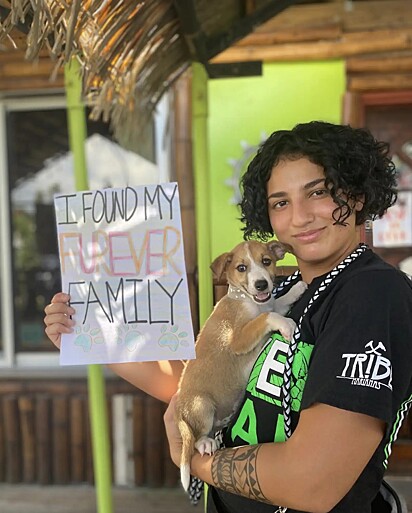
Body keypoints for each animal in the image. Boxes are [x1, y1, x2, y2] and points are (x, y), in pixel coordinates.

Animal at [174, 239, 306, 488]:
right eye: (241, 268)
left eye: (266, 261)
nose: (262, 284)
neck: (245, 299)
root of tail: (180, 415)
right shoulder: (237, 339)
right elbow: (268, 317)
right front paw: (287, 325)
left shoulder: (269, 305)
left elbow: (277, 304)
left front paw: (297, 289)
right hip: (201, 404)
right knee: (197, 437)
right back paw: (205, 443)